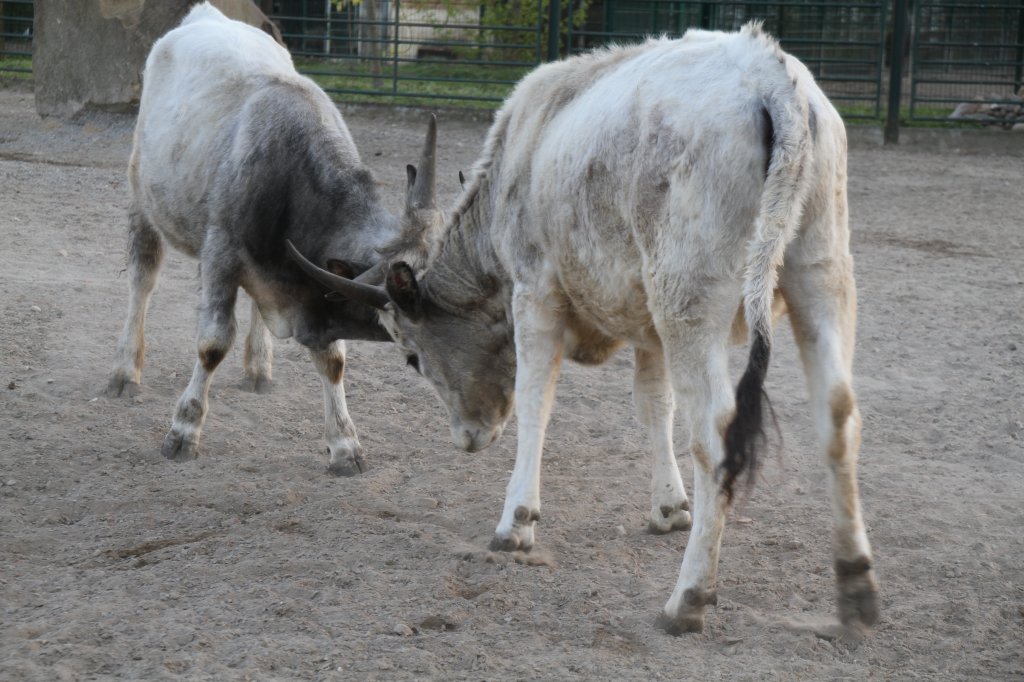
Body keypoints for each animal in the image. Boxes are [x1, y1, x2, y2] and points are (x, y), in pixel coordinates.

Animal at [294, 22, 880, 630]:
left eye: (411, 356)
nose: (467, 437)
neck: (523, 153)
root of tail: (769, 75)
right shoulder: (648, 323)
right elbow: (654, 403)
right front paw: (669, 507)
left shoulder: (535, 290)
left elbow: (536, 399)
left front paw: (516, 522)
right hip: (822, 275)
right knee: (838, 413)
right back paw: (855, 585)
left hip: (689, 298)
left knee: (718, 433)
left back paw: (689, 596)